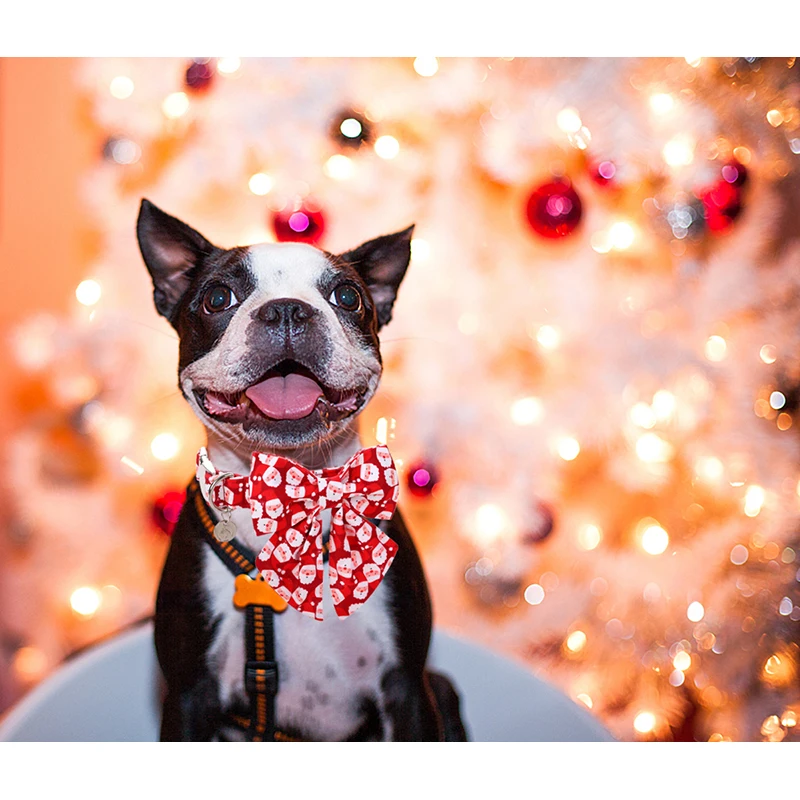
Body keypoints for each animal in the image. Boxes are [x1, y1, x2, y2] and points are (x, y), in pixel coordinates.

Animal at [135, 197, 466, 740]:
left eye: (348, 297)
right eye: (218, 297)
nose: (287, 308)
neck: (293, 484)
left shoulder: (408, 688)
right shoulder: (188, 697)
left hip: (441, 689)